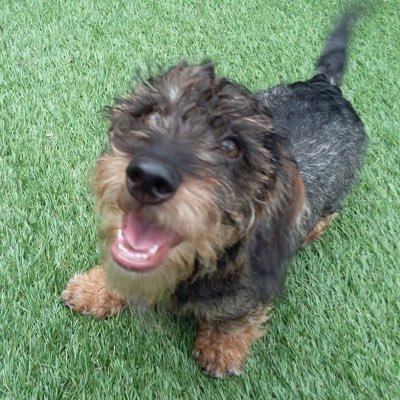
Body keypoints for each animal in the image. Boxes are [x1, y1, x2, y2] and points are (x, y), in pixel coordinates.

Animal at [61, 9, 366, 378]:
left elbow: (236, 317)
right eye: (153, 114)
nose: (148, 176)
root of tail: (326, 86)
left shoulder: (251, 292)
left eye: (231, 147)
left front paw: (222, 348)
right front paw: (94, 290)